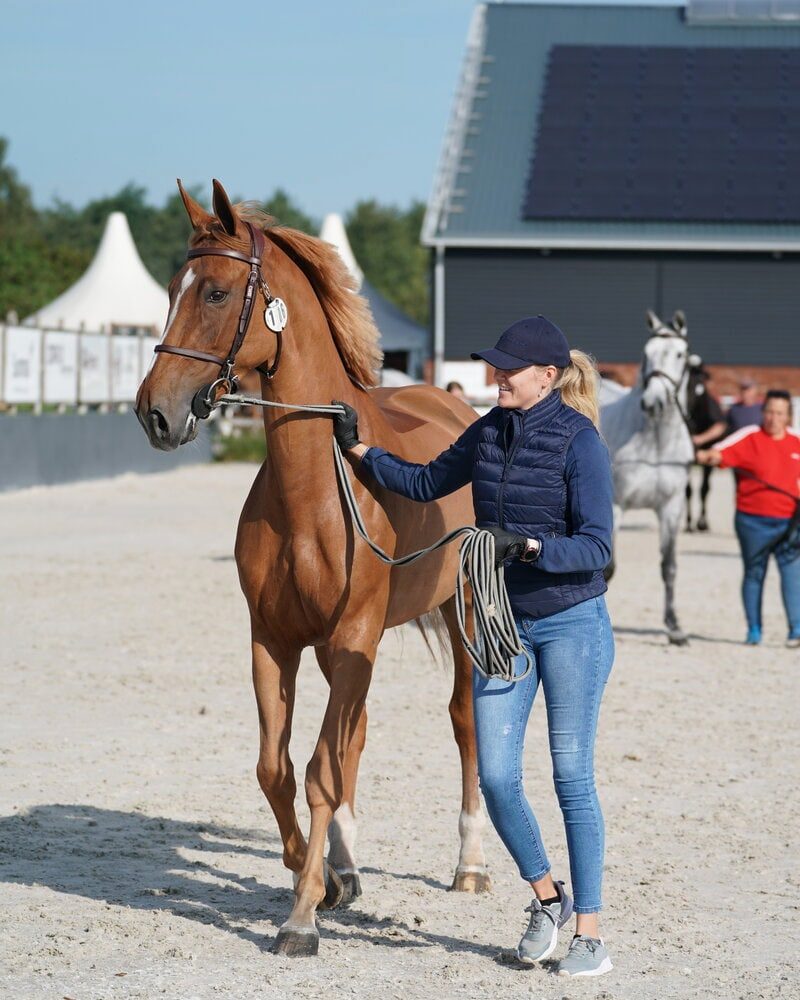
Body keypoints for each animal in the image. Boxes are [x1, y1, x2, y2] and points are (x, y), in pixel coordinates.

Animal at [135, 180, 490, 957]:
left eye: (215, 292)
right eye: (172, 289)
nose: (155, 413)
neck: (320, 486)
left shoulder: (354, 633)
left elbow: (321, 771)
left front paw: (301, 915)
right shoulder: (276, 639)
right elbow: (278, 767)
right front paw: (325, 880)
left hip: (459, 617)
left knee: (465, 720)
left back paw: (470, 866)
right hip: (342, 649)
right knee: (354, 735)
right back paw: (348, 867)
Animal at [600, 310, 695, 645]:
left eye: (679, 354)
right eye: (646, 353)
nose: (653, 403)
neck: (655, 443)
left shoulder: (671, 508)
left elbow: (669, 566)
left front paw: (675, 627)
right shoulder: (614, 507)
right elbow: (608, 568)